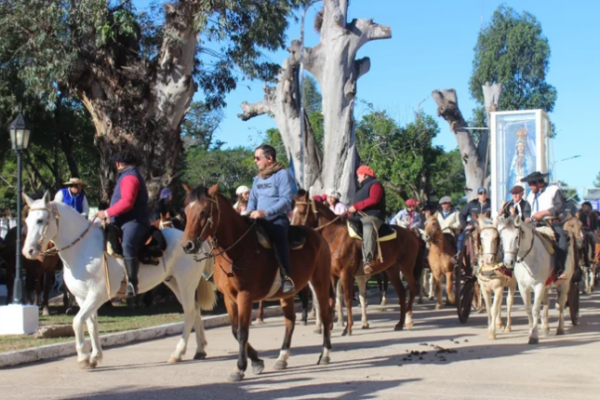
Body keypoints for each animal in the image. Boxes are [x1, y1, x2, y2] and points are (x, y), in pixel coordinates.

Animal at [22, 194, 217, 368]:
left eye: (40, 220)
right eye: (27, 221)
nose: (28, 251)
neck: (83, 249)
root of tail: (193, 242)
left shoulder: (97, 295)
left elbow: (77, 322)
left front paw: (83, 357)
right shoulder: (82, 297)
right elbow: (91, 324)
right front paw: (95, 357)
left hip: (185, 283)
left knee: (189, 311)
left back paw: (177, 353)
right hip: (174, 282)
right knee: (195, 309)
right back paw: (200, 350)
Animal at [180, 184, 336, 382]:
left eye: (203, 211)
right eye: (186, 211)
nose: (187, 245)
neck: (237, 249)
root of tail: (318, 236)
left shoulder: (245, 296)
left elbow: (242, 331)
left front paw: (240, 368)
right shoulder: (229, 298)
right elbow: (235, 330)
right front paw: (256, 361)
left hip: (320, 282)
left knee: (325, 315)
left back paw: (325, 355)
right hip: (287, 294)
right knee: (290, 321)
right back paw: (282, 357)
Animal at [290, 194, 422, 334]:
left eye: (301, 212)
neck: (335, 236)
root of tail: (411, 233)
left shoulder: (345, 274)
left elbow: (347, 299)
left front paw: (348, 327)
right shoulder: (332, 275)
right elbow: (332, 299)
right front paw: (329, 326)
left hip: (406, 266)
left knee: (412, 288)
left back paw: (408, 320)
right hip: (392, 269)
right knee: (401, 292)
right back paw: (400, 323)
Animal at [496, 216, 576, 344]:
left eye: (517, 237)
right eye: (502, 237)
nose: (508, 262)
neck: (530, 258)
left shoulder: (539, 285)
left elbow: (535, 309)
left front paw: (534, 336)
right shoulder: (523, 287)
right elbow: (528, 309)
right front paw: (531, 331)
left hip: (565, 284)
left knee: (561, 304)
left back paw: (560, 329)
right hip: (546, 286)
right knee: (547, 302)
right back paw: (545, 327)